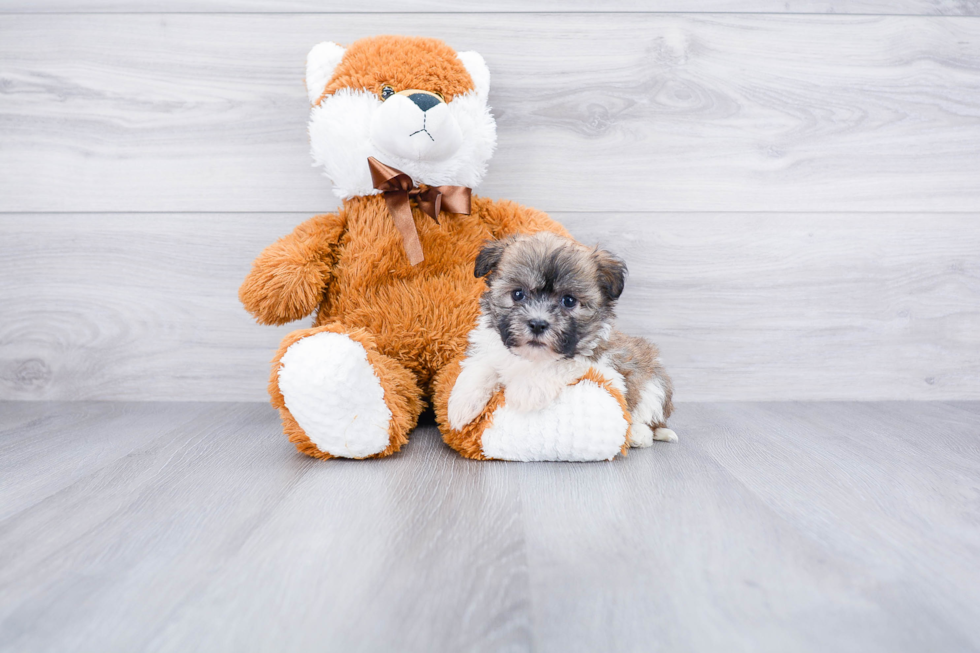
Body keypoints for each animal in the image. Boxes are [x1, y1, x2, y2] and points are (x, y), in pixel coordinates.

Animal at [448, 230, 676, 448]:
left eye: (569, 301)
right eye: (518, 294)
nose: (538, 324)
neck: (531, 358)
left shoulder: (607, 370)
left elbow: (562, 364)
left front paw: (526, 390)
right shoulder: (490, 348)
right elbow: (482, 366)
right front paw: (461, 404)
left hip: (654, 384)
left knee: (648, 419)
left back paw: (639, 435)